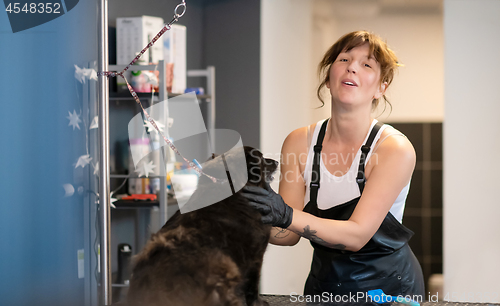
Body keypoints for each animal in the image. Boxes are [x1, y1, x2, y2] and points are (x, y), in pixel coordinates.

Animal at [126, 147, 278, 304]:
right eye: (261, 158)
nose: (277, 162)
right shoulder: (256, 255)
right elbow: (253, 286)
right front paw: (259, 303)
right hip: (225, 264)